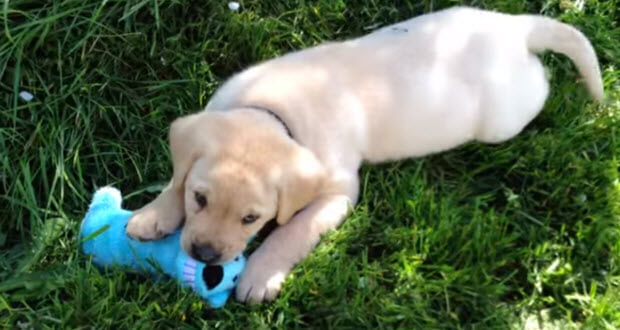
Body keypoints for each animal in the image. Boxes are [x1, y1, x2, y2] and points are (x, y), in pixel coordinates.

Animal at [123, 6, 604, 302]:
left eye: (251, 219)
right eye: (200, 199)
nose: (204, 255)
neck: (272, 107)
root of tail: (514, 27)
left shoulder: (339, 192)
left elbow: (292, 231)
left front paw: (260, 275)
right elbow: (177, 176)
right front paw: (151, 214)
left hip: (506, 117)